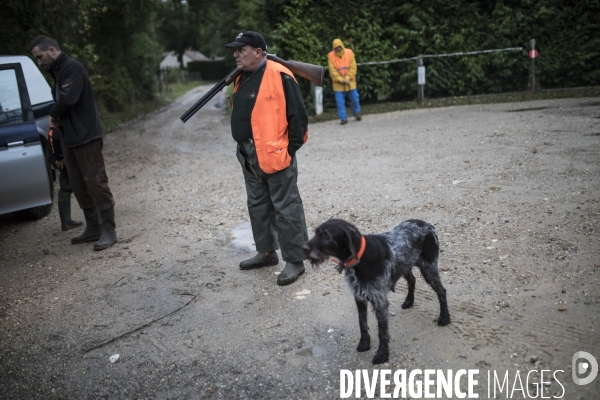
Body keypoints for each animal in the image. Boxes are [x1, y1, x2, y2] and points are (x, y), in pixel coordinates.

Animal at [304, 220, 450, 364]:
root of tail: (429, 225)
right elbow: (362, 323)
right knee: (412, 280)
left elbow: (382, 332)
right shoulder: (359, 297)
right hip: (405, 265)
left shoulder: (380, 301)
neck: (360, 258)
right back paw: (409, 301)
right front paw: (364, 343)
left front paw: (382, 354)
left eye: (326, 235)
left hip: (428, 267)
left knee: (442, 291)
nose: (303, 248)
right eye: (316, 233)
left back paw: (444, 317)